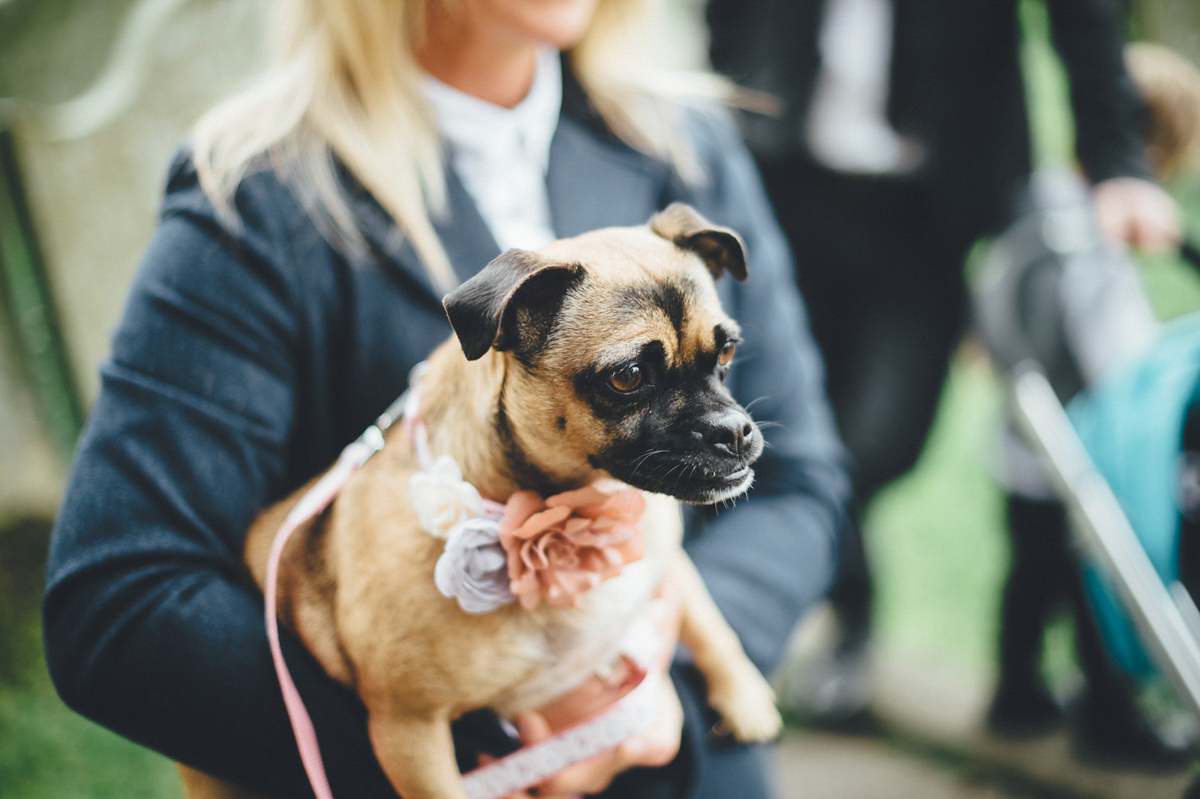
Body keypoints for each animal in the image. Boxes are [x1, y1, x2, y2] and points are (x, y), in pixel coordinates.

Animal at [175, 202, 777, 796]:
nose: (735, 431)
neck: (576, 508)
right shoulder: (412, 735)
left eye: (727, 350)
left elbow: (705, 614)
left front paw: (742, 692)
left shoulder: (663, 551)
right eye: (628, 377)